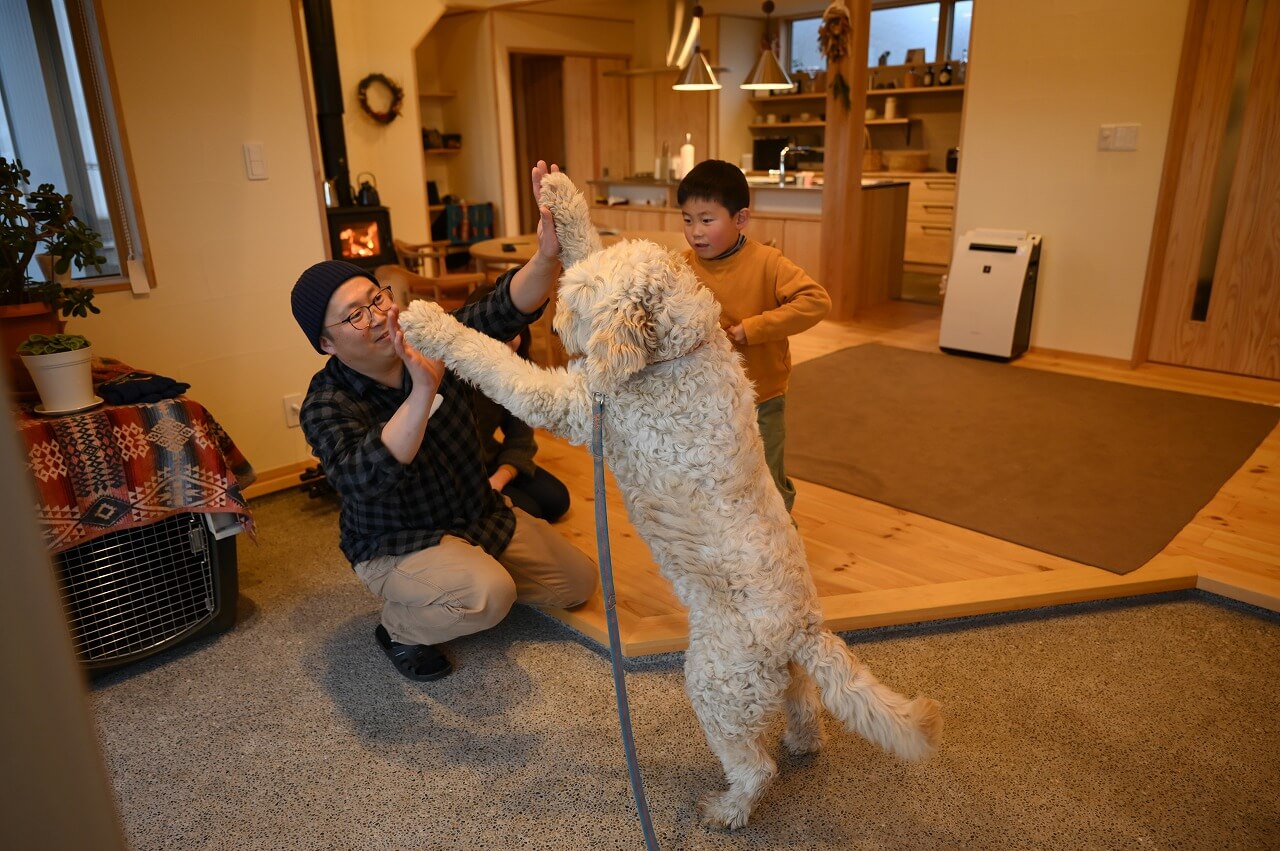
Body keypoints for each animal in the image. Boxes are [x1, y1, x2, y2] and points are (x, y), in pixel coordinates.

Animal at [399, 172, 942, 829]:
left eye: (576, 304)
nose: (553, 330)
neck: (677, 353)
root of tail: (804, 632)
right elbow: (584, 237)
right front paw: (558, 194)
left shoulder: (574, 403)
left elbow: (496, 362)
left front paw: (431, 323)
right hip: (778, 681)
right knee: (807, 709)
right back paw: (802, 742)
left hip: (717, 684)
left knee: (754, 766)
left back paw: (726, 809)